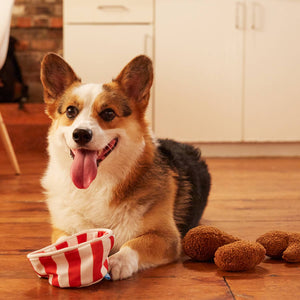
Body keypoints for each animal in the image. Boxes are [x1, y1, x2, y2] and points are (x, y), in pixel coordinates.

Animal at [40, 52, 211, 280]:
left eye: (108, 113)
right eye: (70, 111)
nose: (81, 134)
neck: (98, 183)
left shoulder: (166, 237)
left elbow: (135, 244)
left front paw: (117, 261)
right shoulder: (61, 228)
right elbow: (63, 241)